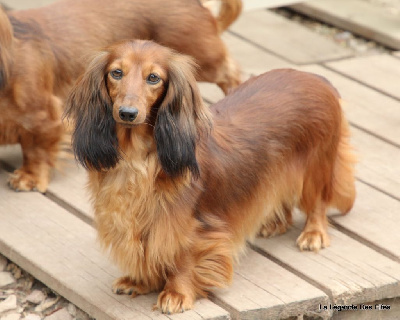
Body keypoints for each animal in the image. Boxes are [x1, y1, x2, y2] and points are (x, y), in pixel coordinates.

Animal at [0, 0, 241, 192]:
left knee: (230, 71)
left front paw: (30, 176)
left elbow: (36, 148)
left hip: (201, 58)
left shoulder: (45, 116)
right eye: (116, 73)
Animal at [65, 41, 356, 314]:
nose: (127, 113)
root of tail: (316, 78)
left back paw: (314, 233)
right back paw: (275, 223)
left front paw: (177, 293)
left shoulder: (186, 223)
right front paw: (141, 281)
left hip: (316, 166)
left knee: (317, 202)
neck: (139, 157)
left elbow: (181, 256)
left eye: (153, 78)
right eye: (116, 73)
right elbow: (148, 251)